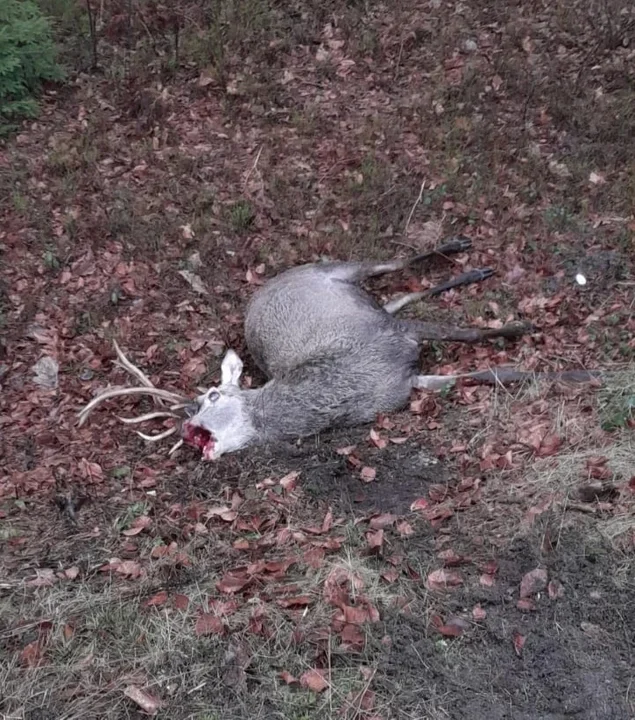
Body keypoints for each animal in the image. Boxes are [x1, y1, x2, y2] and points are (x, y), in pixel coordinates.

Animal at [79, 236, 600, 462]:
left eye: (210, 394)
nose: (187, 429)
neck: (344, 388)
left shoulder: (396, 336)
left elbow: (473, 336)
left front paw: (532, 333)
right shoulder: (408, 380)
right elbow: (494, 374)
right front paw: (576, 374)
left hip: (340, 272)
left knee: (395, 263)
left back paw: (463, 248)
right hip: (364, 301)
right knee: (403, 292)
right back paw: (471, 270)